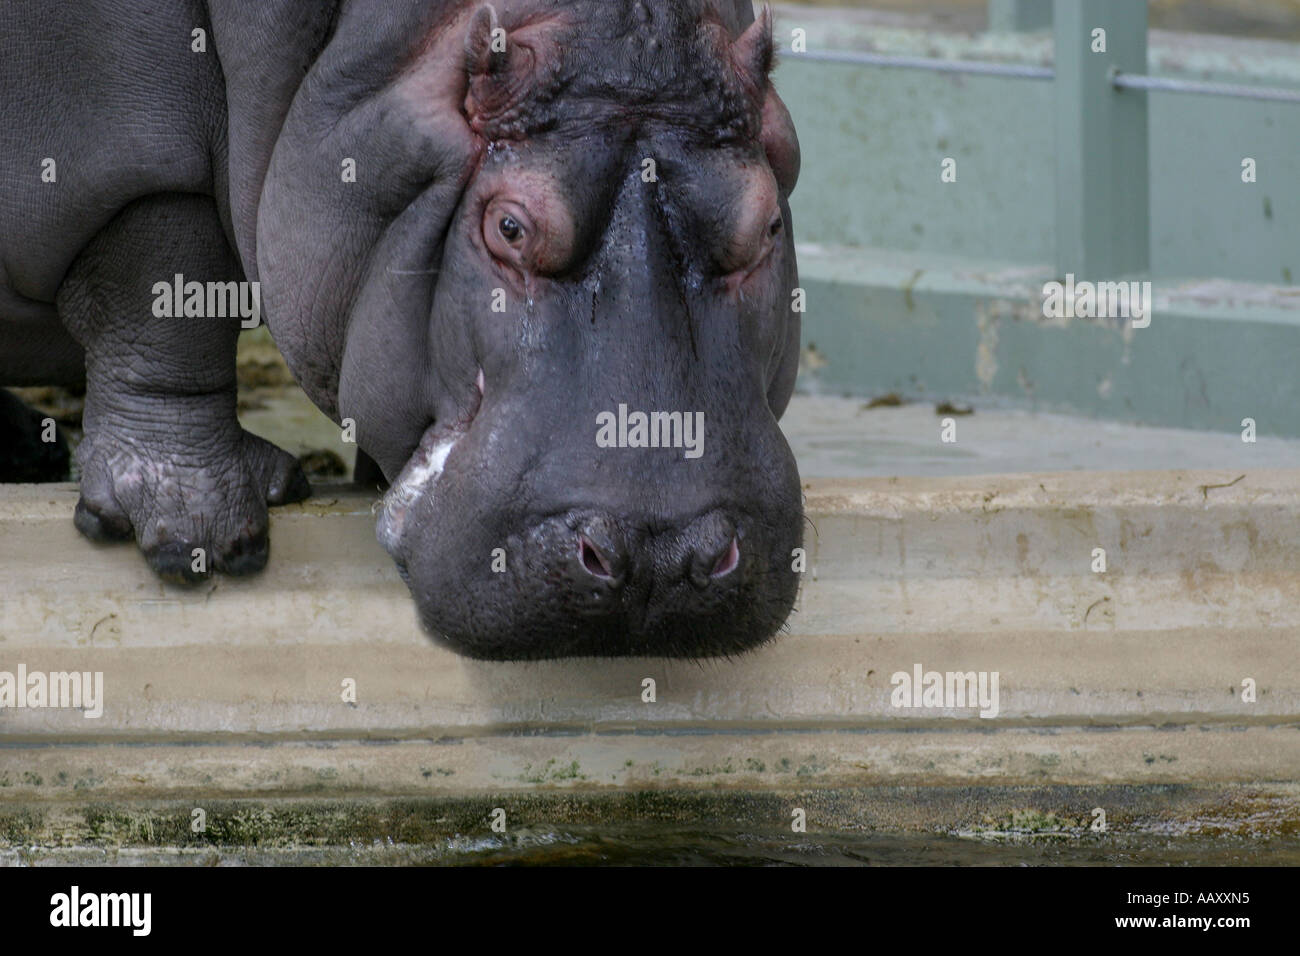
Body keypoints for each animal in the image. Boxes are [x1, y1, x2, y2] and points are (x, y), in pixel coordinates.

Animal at [0, 0, 803, 659]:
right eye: (509, 227)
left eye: (766, 223)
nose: (661, 559)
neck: (372, 56)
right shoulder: (129, 154)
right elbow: (166, 293)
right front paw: (201, 538)